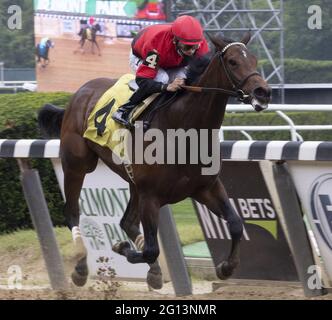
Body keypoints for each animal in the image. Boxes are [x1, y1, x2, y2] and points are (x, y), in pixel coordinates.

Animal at [37, 33, 272, 288]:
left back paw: (154, 271)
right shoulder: (151, 196)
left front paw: (226, 267)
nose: (263, 92)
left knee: (127, 222)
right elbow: (151, 250)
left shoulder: (206, 187)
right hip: (77, 165)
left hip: (132, 181)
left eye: (254, 59)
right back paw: (81, 267)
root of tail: (79, 92)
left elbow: (236, 224)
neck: (183, 128)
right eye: (232, 61)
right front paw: (122, 247)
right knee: (72, 211)